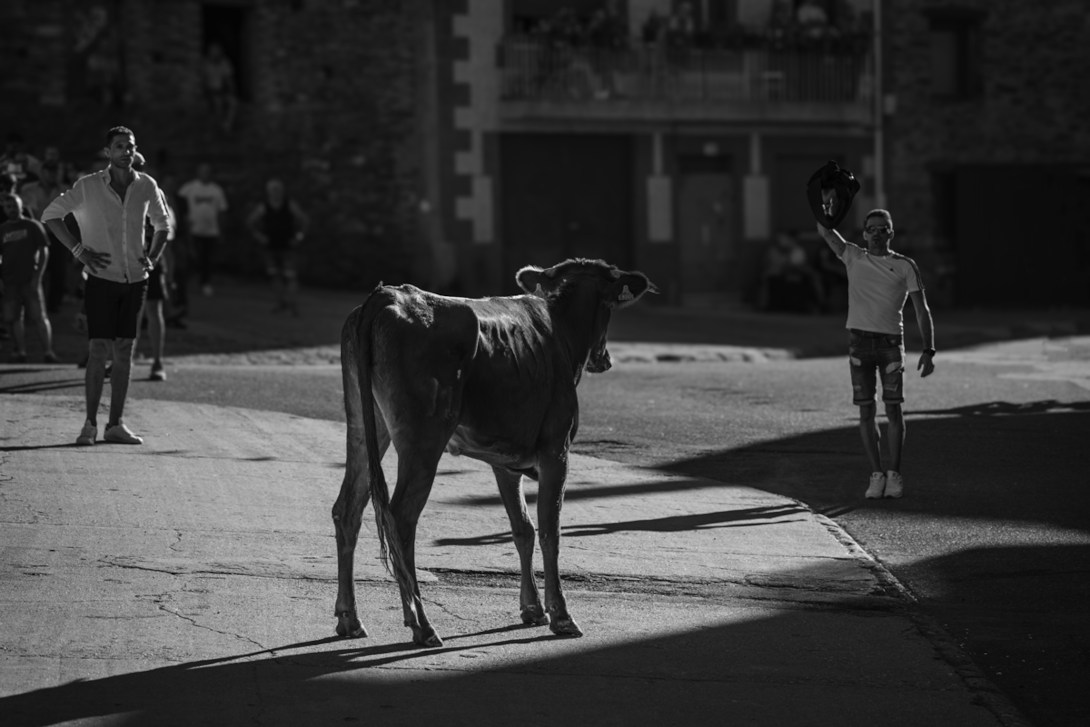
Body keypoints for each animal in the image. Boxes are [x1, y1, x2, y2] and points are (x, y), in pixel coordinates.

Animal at [329, 258, 654, 645]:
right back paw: (422, 624)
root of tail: (390, 294)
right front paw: (561, 615)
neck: (560, 328)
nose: (604, 359)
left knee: (348, 509)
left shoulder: (505, 458)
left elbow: (523, 529)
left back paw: (350, 619)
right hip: (423, 439)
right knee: (401, 519)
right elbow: (550, 531)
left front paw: (533, 609)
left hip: (365, 426)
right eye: (609, 306)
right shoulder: (556, 450)